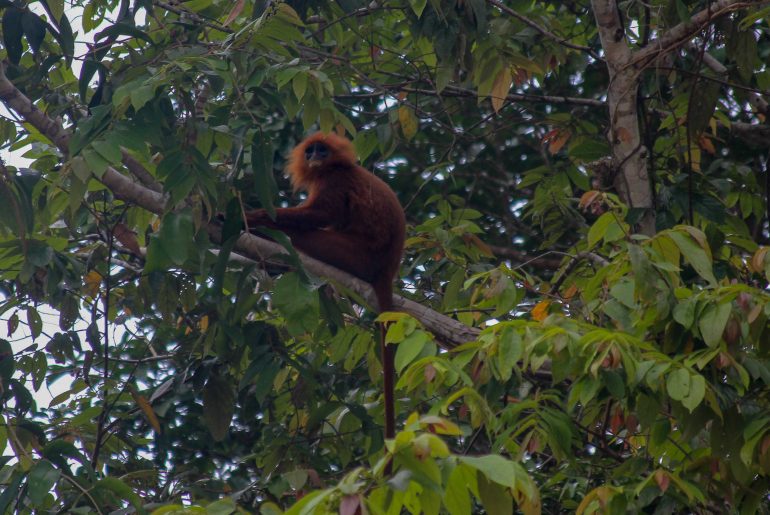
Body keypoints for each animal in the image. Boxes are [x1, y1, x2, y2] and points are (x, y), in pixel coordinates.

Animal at [243, 131, 406, 449]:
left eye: (322, 150)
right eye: (310, 151)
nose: (314, 157)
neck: (335, 167)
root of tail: (386, 268)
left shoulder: (334, 181)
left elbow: (317, 215)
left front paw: (251, 216)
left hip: (354, 255)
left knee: (303, 234)